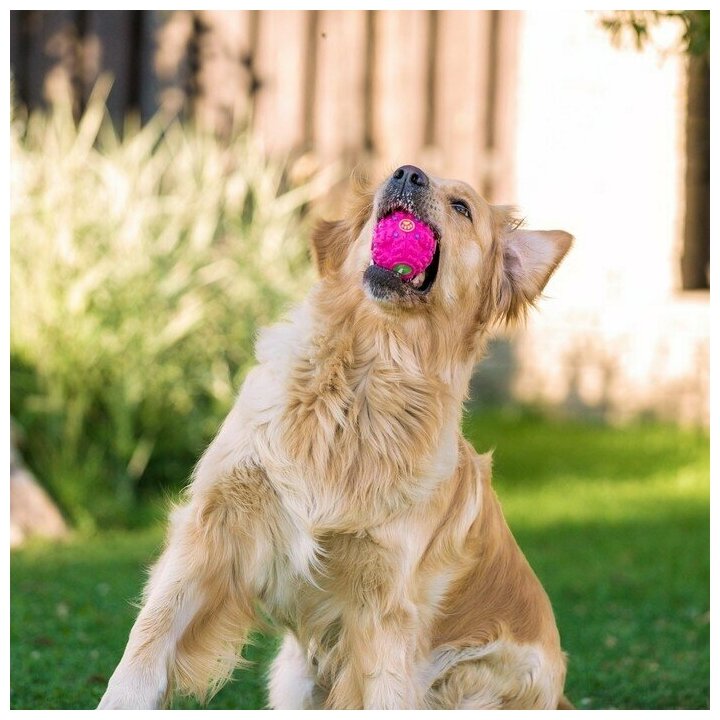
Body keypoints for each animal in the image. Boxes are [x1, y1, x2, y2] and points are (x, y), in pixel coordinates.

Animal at [100, 163, 572, 708]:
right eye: (397, 176)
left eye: (462, 207)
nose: (406, 174)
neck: (363, 377)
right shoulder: (213, 526)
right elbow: (150, 635)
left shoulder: (386, 601)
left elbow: (385, 692)